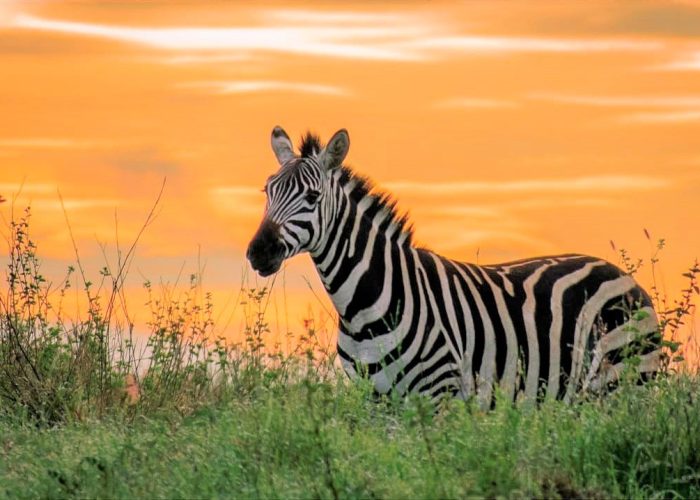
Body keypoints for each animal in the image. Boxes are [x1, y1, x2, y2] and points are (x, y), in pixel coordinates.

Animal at [246, 126, 660, 406]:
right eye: (267, 191)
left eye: (313, 197)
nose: (258, 252)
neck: (363, 305)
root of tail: (623, 275)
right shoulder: (377, 402)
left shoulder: (439, 395)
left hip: (624, 382)